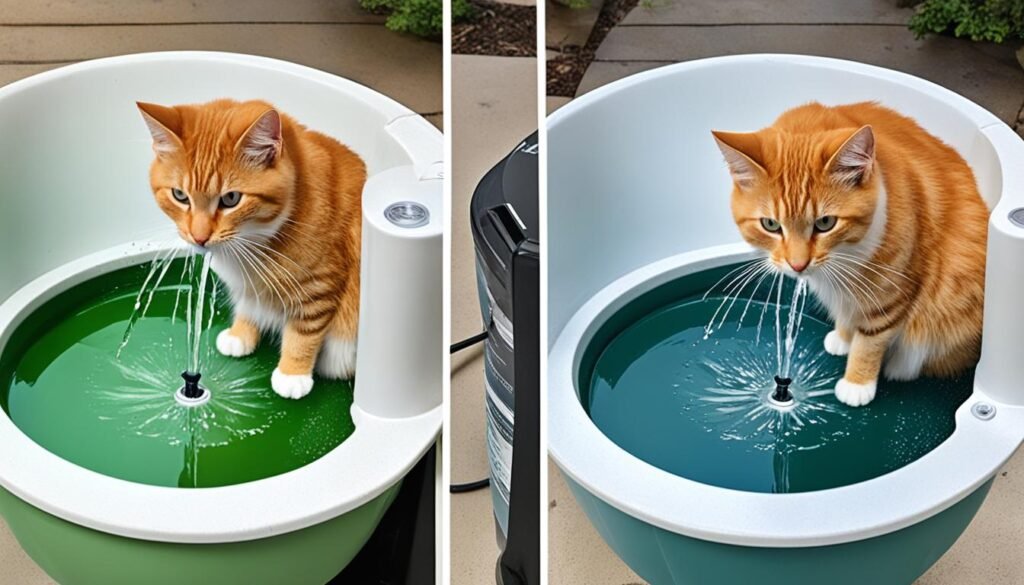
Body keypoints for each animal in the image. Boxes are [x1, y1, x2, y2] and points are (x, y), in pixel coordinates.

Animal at [138, 98, 366, 401]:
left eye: (231, 199)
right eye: (179, 196)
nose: (199, 238)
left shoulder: (319, 288)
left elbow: (303, 333)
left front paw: (292, 374)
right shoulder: (248, 286)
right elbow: (248, 306)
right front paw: (240, 335)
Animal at [712, 101, 991, 407]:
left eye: (825, 223)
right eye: (770, 225)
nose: (798, 265)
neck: (845, 253)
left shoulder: (891, 294)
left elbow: (870, 341)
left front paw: (857, 383)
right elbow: (847, 312)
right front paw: (843, 339)